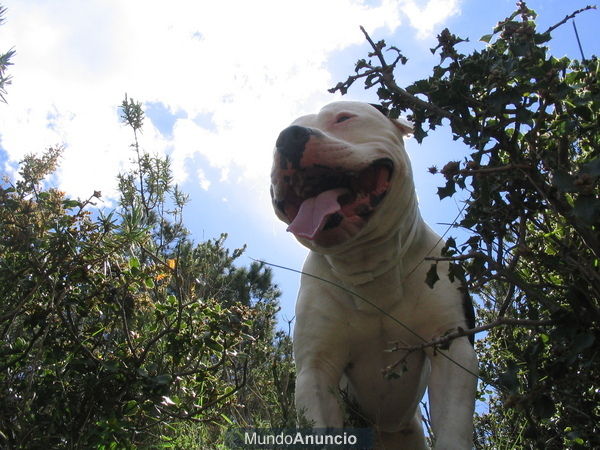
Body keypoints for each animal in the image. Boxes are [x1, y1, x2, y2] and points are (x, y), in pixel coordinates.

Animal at [272, 102, 478, 450]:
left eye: (343, 117)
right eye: (277, 137)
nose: (287, 137)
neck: (369, 268)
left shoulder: (452, 345)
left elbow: (453, 429)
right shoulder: (316, 370)